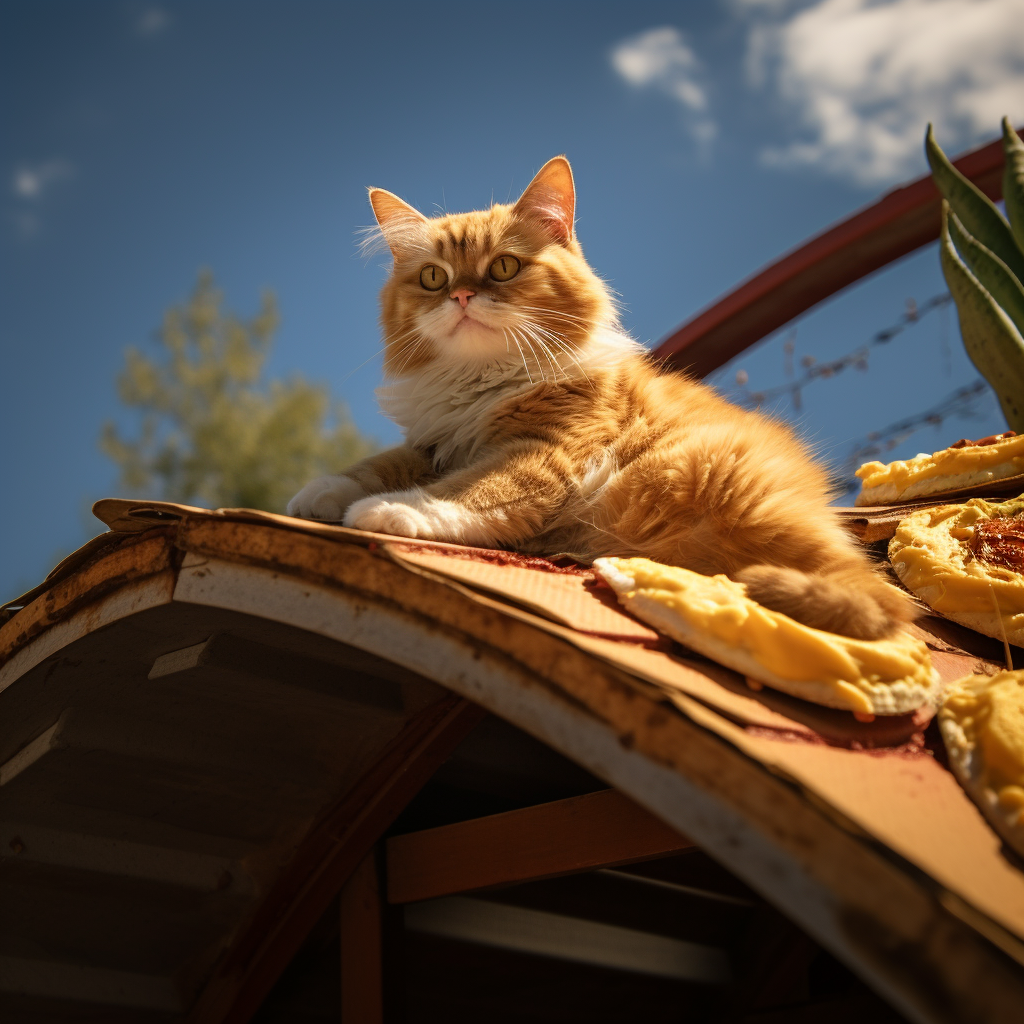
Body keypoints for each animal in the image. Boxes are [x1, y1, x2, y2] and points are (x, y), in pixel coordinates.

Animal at [290, 156, 913, 638]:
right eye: (434, 279)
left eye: (504, 267)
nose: (462, 296)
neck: (482, 383)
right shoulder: (434, 440)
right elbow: (378, 464)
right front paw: (320, 493)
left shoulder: (544, 450)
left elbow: (468, 492)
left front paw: (387, 510)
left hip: (712, 478)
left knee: (878, 602)